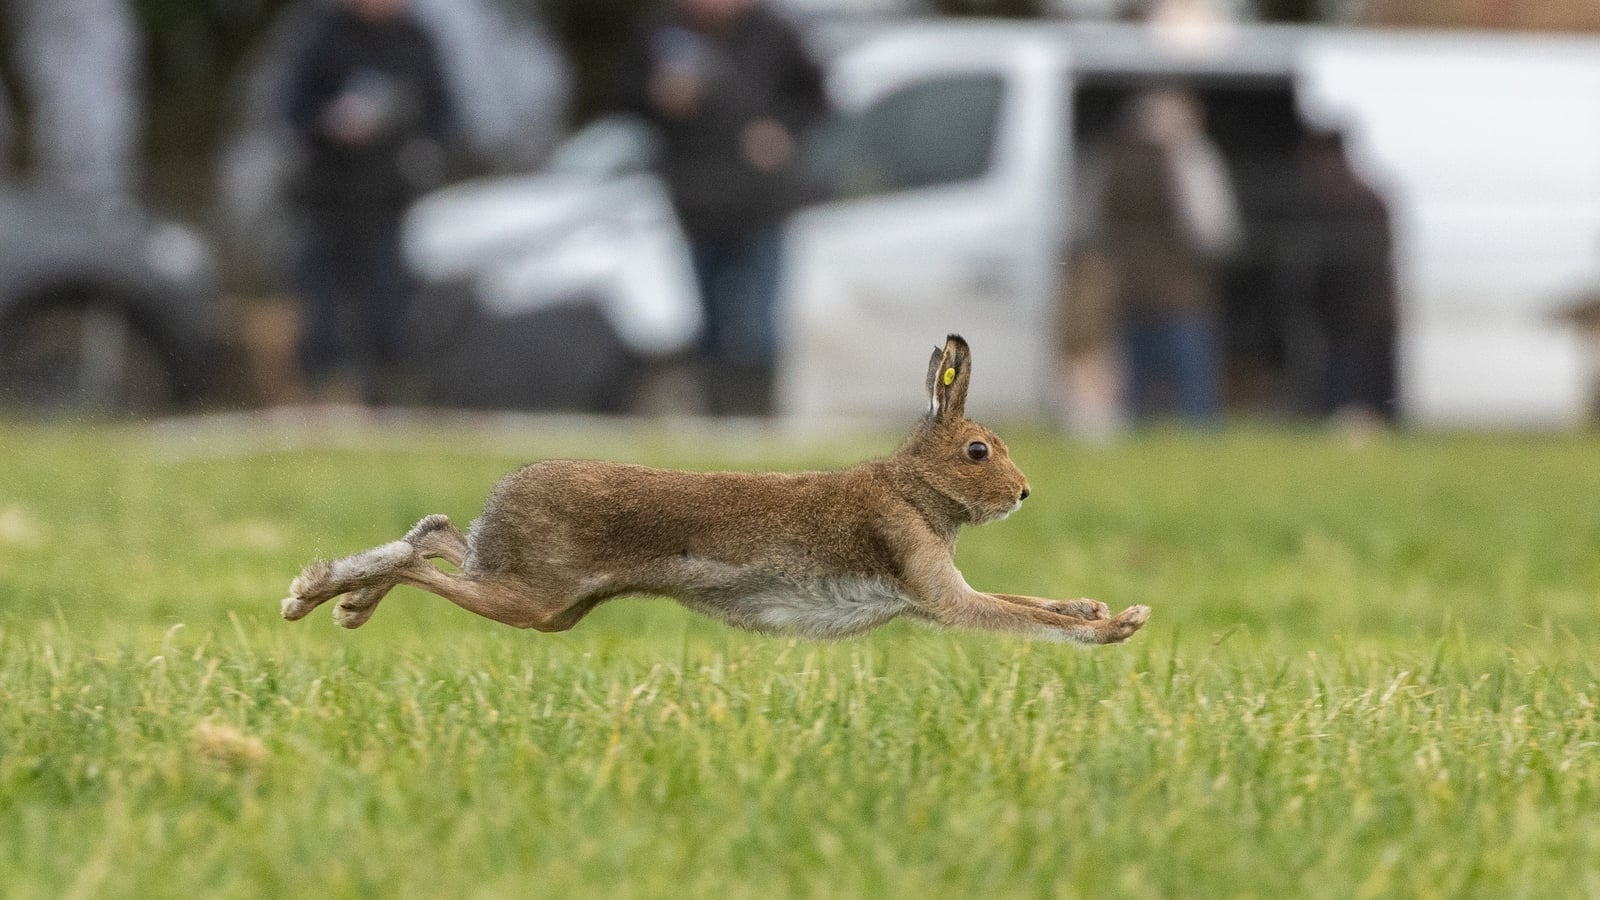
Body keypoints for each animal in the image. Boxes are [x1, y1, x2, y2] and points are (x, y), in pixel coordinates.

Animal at [280, 335, 1151, 644]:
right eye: (978, 450)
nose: (1024, 493)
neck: (909, 486)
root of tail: (507, 494)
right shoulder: (937, 591)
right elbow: (1013, 616)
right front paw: (1116, 627)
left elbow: (1029, 603)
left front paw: (1097, 607)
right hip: (533, 595)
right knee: (422, 562)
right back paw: (316, 593)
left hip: (546, 598)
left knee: (434, 537)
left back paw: (344, 600)